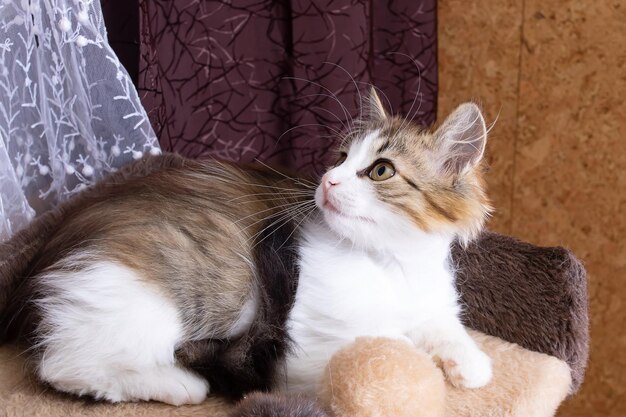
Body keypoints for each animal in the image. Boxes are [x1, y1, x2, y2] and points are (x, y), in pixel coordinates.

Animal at [0, 90, 492, 404]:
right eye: (340, 158)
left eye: (381, 170)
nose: (327, 181)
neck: (391, 262)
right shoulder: (306, 338)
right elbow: (391, 344)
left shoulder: (432, 302)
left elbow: (443, 327)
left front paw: (471, 364)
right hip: (196, 288)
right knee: (65, 364)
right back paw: (178, 386)